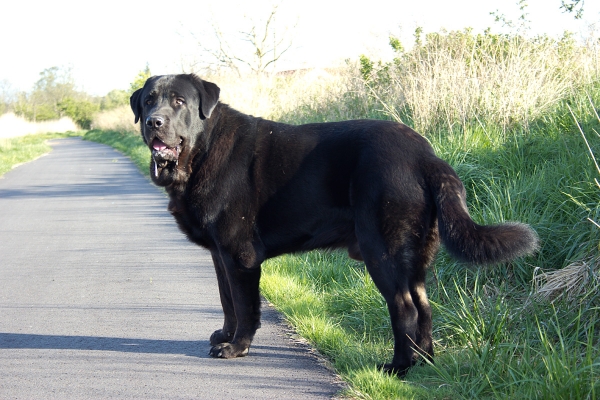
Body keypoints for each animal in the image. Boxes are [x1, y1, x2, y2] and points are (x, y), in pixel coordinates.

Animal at [129, 72, 536, 376]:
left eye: (178, 101)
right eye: (149, 100)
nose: (153, 122)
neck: (202, 151)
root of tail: (426, 155)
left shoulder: (239, 256)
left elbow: (244, 306)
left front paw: (237, 347)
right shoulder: (220, 256)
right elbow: (226, 300)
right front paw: (224, 336)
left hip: (382, 250)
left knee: (404, 308)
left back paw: (399, 367)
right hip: (414, 256)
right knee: (424, 306)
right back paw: (425, 363)